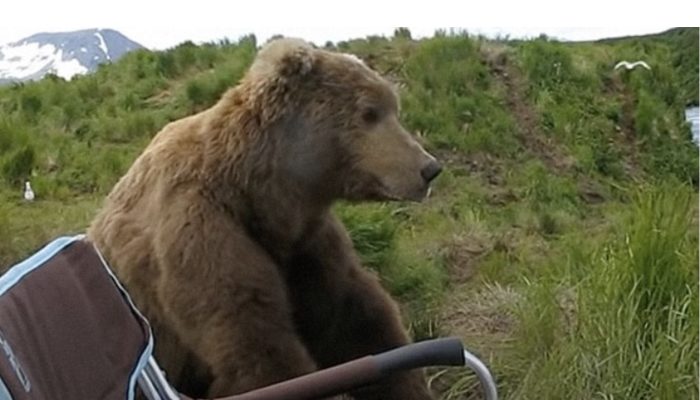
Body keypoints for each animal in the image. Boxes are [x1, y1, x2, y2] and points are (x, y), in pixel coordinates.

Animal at [87, 38, 442, 399]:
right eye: (369, 112)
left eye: (393, 108)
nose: (428, 168)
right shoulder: (200, 234)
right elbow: (257, 347)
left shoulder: (305, 243)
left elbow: (354, 319)